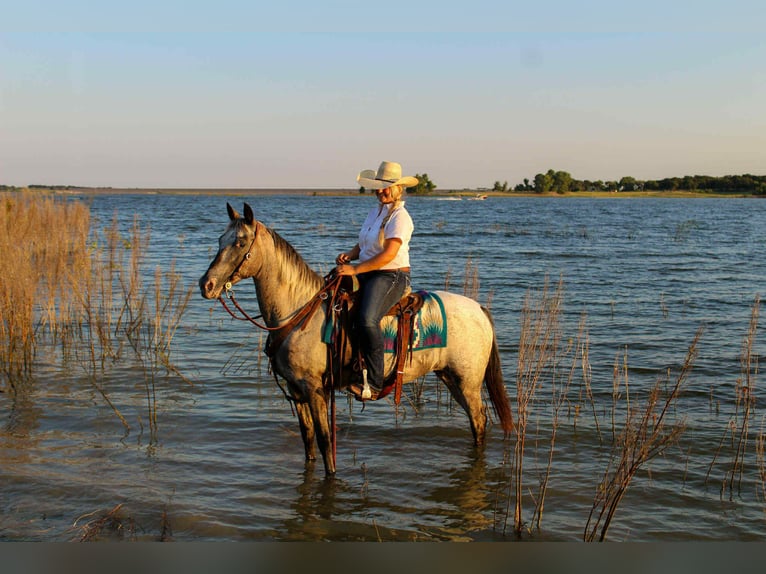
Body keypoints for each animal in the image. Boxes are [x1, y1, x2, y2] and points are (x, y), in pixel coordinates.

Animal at [199, 202, 514, 475]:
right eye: (220, 239)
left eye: (240, 243)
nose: (207, 285)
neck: (299, 312)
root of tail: (479, 309)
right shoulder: (296, 389)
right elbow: (308, 439)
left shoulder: (315, 389)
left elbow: (325, 441)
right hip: (452, 378)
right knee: (477, 421)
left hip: (468, 381)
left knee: (479, 420)